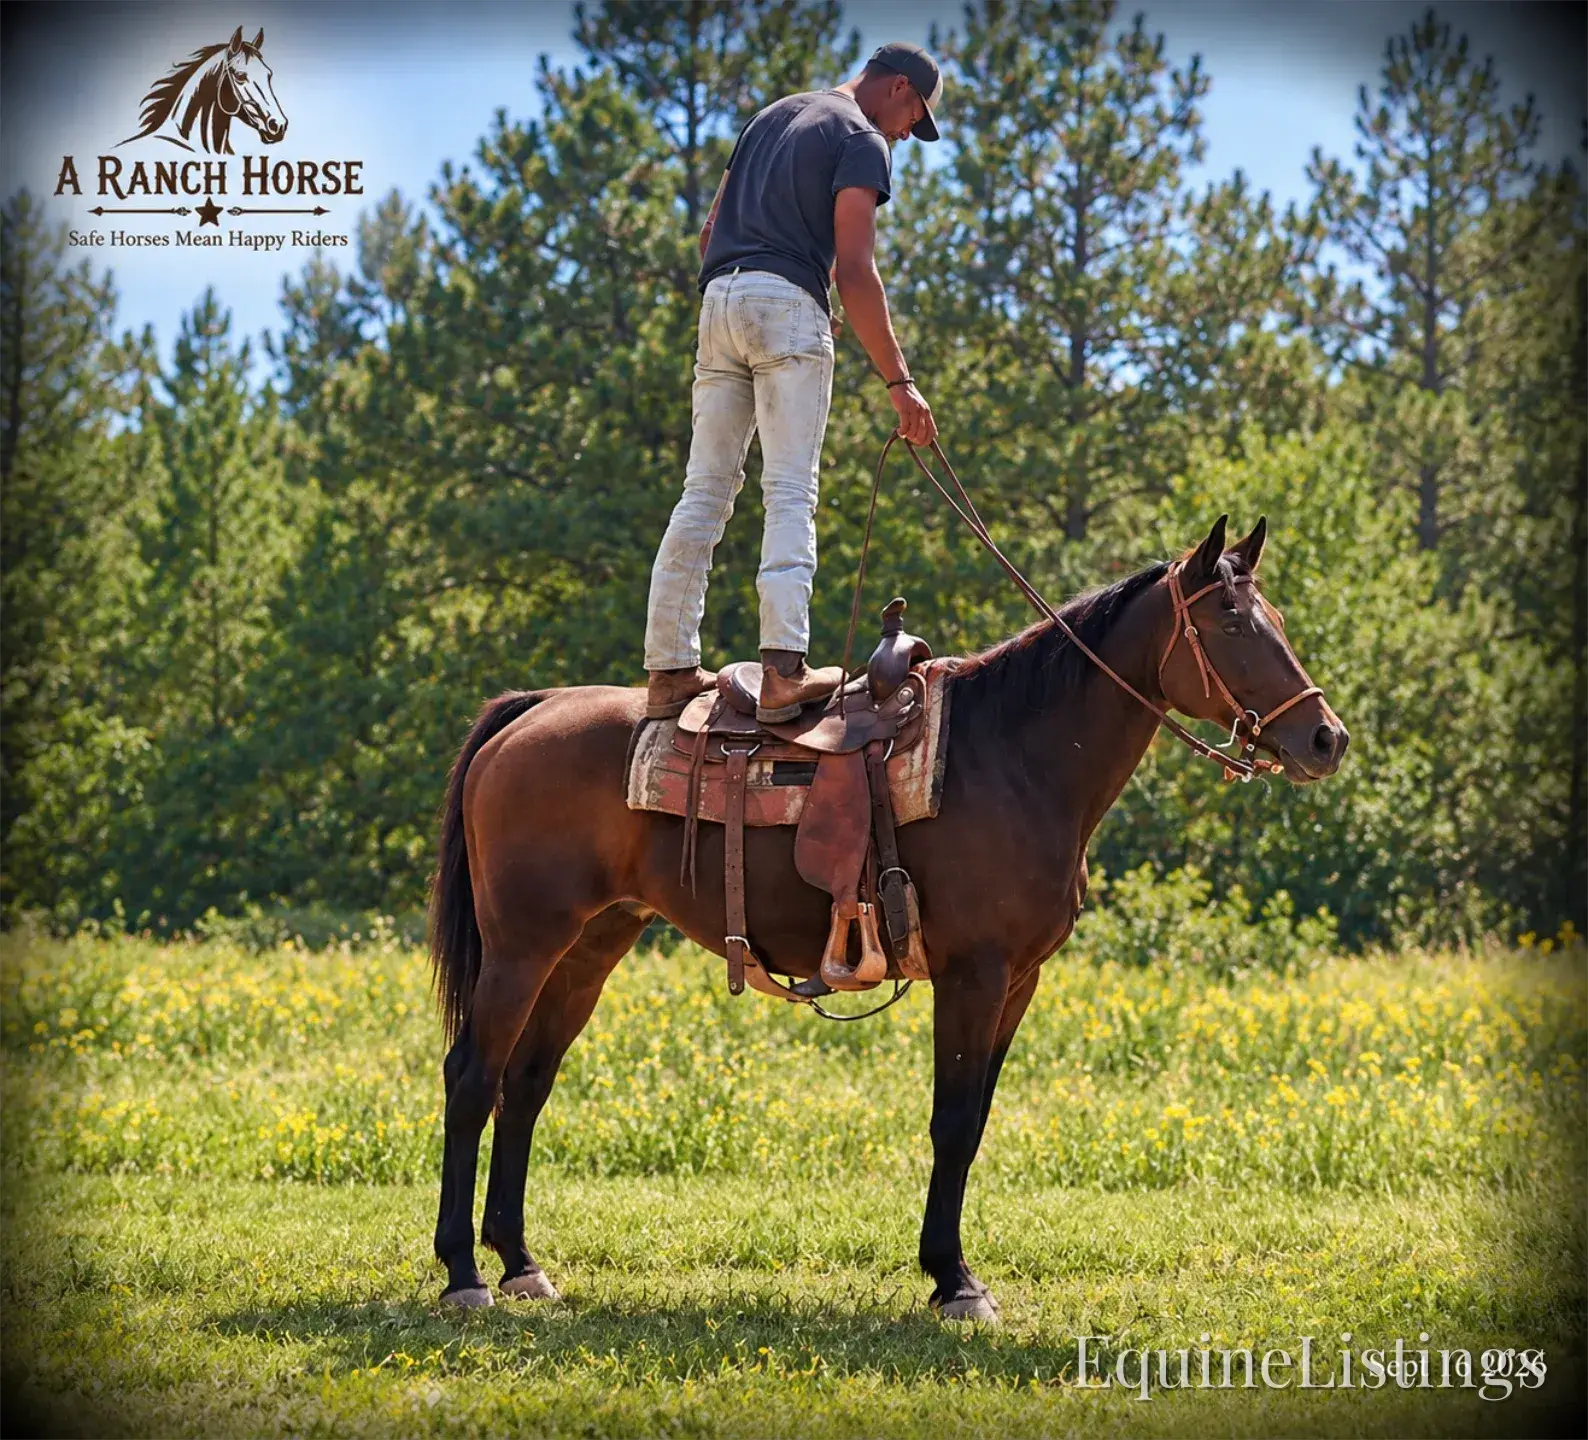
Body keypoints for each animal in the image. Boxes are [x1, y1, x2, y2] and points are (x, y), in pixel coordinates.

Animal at [427, 514, 1349, 1318]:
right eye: (1231, 621)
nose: (1326, 739)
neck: (1013, 757)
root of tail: (534, 707)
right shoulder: (974, 975)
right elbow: (952, 1122)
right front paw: (955, 1281)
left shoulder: (1019, 982)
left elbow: (975, 1121)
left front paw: (953, 1271)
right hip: (521, 947)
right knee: (472, 1076)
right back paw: (463, 1272)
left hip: (589, 947)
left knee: (526, 1083)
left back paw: (520, 1263)